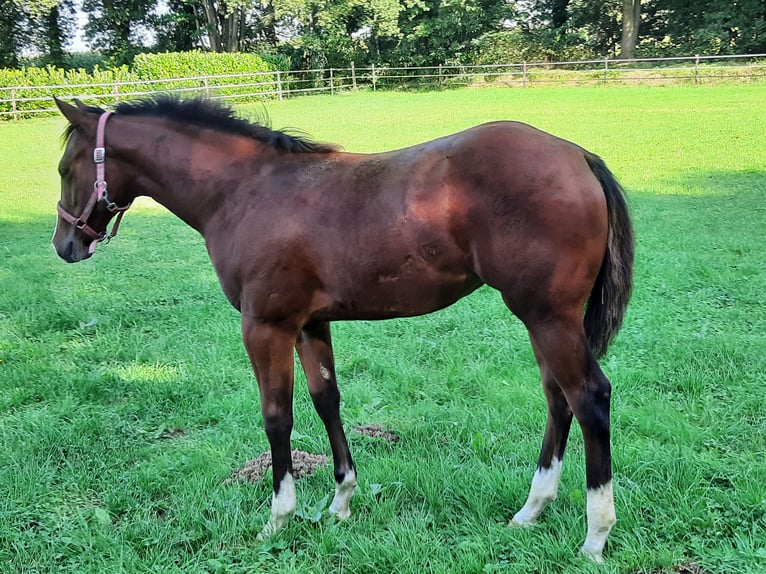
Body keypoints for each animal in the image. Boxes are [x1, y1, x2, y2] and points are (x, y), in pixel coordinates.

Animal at [52, 94, 633, 562]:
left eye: (64, 167)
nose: (65, 245)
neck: (244, 192)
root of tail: (578, 155)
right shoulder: (310, 324)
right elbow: (326, 400)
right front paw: (340, 502)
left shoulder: (265, 327)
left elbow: (277, 418)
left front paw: (278, 518)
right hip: (541, 320)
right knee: (558, 399)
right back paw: (531, 510)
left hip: (548, 317)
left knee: (589, 397)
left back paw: (595, 536)